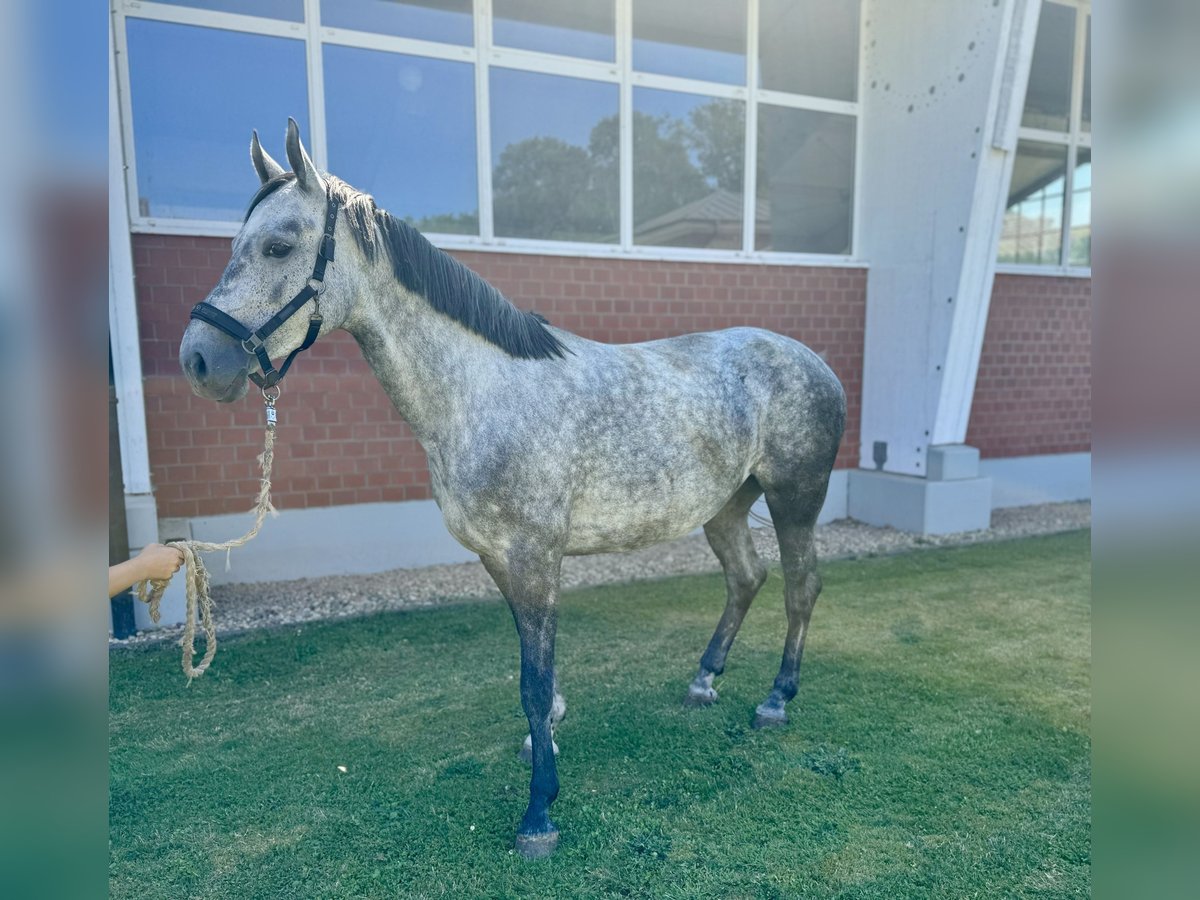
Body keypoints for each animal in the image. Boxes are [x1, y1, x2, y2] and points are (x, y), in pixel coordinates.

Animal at [182, 120, 849, 859]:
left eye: (278, 245)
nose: (199, 359)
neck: (481, 392)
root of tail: (814, 362)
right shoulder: (500, 560)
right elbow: (535, 680)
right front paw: (544, 751)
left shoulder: (534, 559)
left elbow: (534, 683)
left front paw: (539, 813)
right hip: (726, 507)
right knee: (746, 578)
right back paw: (703, 681)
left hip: (795, 499)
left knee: (800, 587)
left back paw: (776, 699)